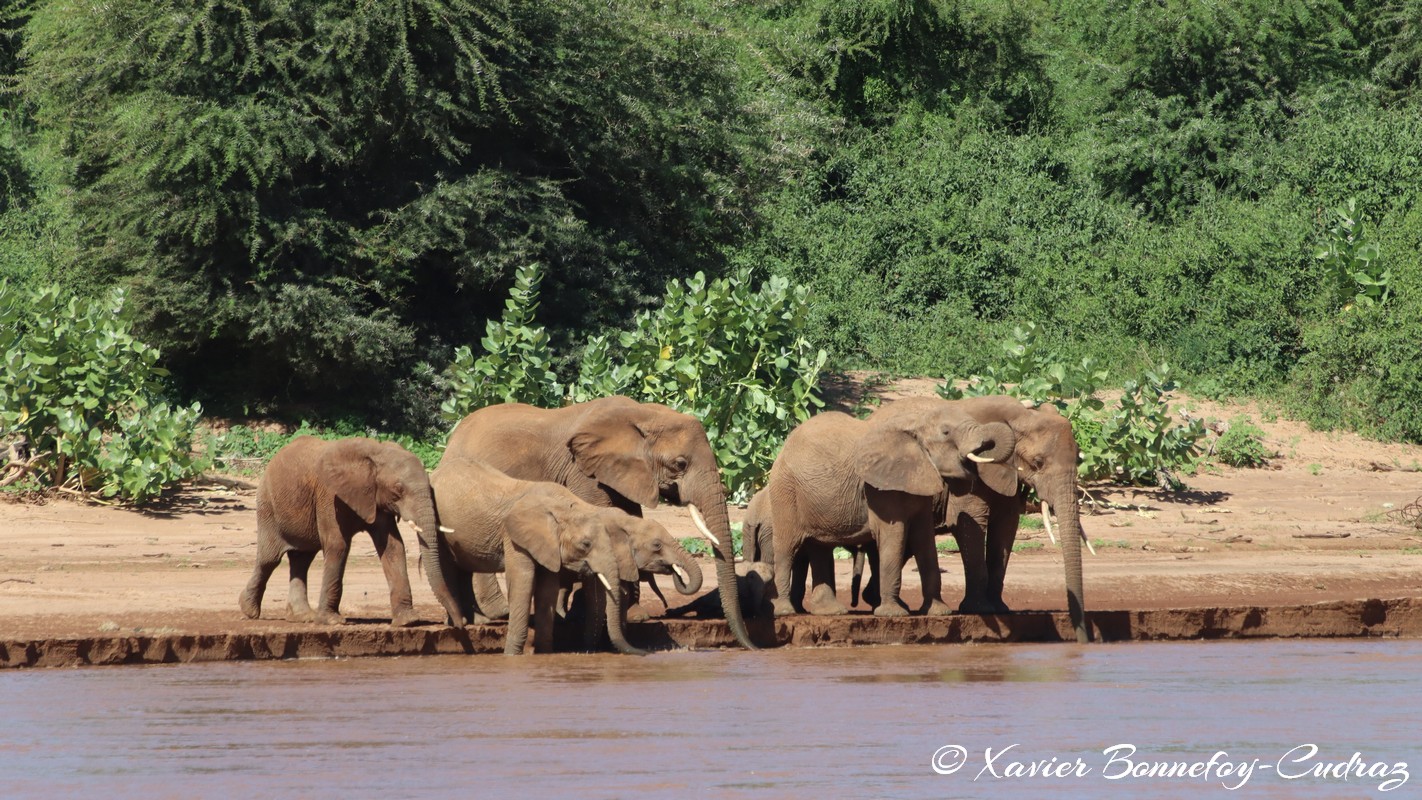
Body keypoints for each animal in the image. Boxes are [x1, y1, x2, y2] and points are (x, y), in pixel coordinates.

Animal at [236, 437, 452, 625]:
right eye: (398, 489)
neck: (377, 452)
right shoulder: (330, 495)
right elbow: (337, 545)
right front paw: (332, 622)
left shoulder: (376, 499)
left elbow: (393, 546)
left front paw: (408, 621)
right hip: (267, 505)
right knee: (269, 559)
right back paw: (249, 610)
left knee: (302, 559)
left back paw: (302, 617)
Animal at [420, 457, 645, 656]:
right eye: (585, 544)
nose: (642, 653)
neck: (563, 505)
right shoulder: (514, 536)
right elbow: (523, 581)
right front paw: (511, 655)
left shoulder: (548, 545)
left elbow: (547, 588)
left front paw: (544, 653)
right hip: (438, 527)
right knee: (447, 567)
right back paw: (459, 622)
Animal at [440, 397, 756, 647]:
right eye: (680, 464)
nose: (750, 646)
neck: (643, 414)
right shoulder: (583, 472)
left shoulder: (621, 472)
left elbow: (628, 515)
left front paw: (632, 614)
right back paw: (496, 614)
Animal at [762, 406, 1018, 619]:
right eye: (946, 432)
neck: (914, 423)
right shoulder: (880, 489)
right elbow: (894, 536)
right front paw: (893, 614)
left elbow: (925, 541)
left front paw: (938, 612)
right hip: (785, 491)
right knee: (787, 548)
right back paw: (785, 611)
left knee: (820, 547)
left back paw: (831, 612)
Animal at [864, 395, 1086, 645]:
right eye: (1038, 462)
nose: (1083, 641)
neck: (1020, 416)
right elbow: (970, 526)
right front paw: (979, 609)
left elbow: (1006, 529)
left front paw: (999, 609)